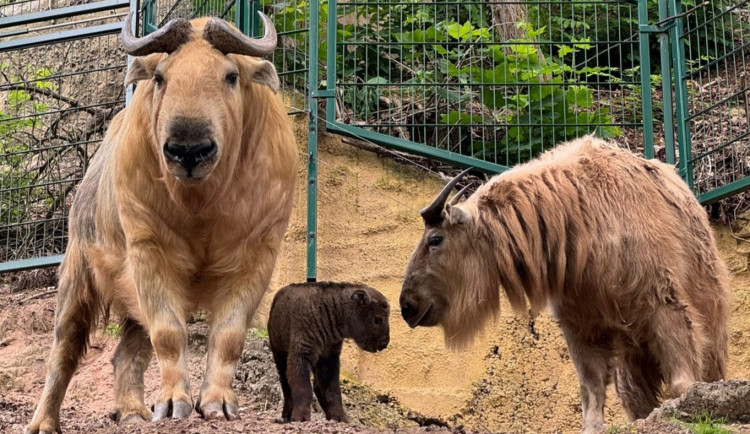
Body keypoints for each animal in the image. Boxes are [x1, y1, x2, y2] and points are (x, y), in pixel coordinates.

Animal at [268, 280, 390, 422]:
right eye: (378, 319)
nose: (384, 344)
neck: (332, 311)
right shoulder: (301, 356)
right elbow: (304, 388)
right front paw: (301, 417)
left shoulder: (328, 359)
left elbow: (332, 391)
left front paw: (339, 417)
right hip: (279, 355)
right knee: (286, 385)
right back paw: (287, 414)